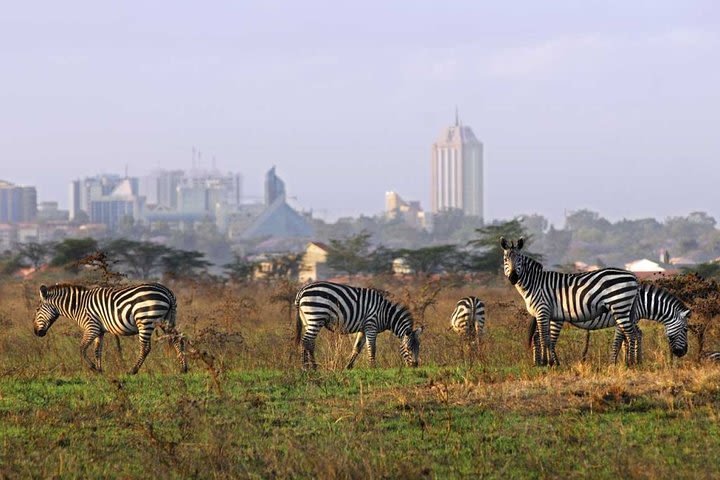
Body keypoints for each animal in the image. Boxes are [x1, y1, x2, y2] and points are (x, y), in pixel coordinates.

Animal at [34, 282, 187, 376]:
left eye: (37, 310)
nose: (36, 332)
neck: (78, 306)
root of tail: (166, 291)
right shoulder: (99, 331)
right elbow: (97, 351)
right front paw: (100, 370)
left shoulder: (91, 327)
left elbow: (82, 349)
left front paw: (93, 368)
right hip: (166, 320)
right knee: (177, 339)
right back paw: (183, 368)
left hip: (145, 320)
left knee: (145, 347)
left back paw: (132, 371)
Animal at [500, 237, 640, 368]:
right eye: (505, 260)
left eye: (519, 260)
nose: (513, 278)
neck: (535, 284)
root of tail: (633, 276)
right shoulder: (548, 314)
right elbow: (547, 339)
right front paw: (550, 362)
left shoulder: (542, 311)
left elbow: (544, 338)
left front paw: (545, 362)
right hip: (625, 309)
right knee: (631, 334)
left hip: (620, 306)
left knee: (631, 334)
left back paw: (632, 363)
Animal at [524, 282, 688, 364]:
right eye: (686, 330)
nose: (683, 353)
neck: (642, 301)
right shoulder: (625, 318)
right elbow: (621, 340)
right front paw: (616, 363)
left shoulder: (629, 320)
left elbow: (630, 338)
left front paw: (632, 361)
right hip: (555, 319)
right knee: (544, 338)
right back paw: (546, 362)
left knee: (537, 336)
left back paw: (538, 362)